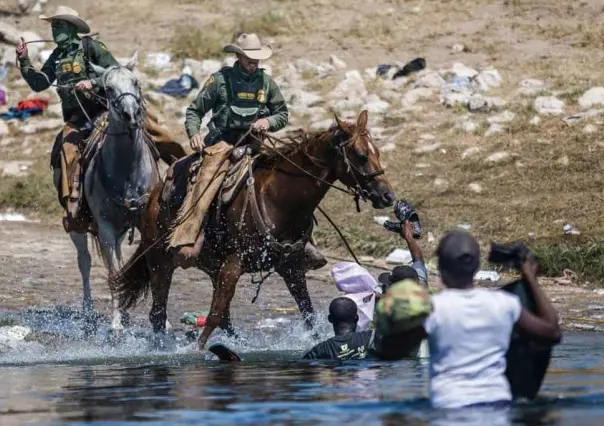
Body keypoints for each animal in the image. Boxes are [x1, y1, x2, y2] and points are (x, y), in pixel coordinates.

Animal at [113, 110, 396, 350]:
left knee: (223, 317)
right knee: (159, 313)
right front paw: (197, 351)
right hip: (160, 262)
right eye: (360, 155)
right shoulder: (234, 263)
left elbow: (308, 313)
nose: (387, 196)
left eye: (377, 152)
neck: (279, 199)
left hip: (211, 266)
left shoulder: (291, 266)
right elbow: (214, 314)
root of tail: (152, 197)